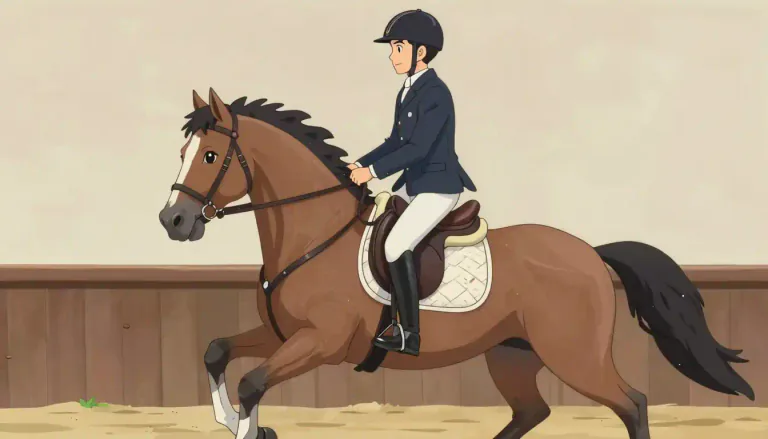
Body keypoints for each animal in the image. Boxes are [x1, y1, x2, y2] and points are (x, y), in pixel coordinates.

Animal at [157, 88, 754, 439]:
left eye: (209, 155)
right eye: (182, 153)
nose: (173, 221)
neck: (311, 234)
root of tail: (588, 252)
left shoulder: (321, 341)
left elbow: (252, 383)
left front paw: (250, 426)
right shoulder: (284, 334)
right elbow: (217, 352)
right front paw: (238, 422)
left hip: (575, 357)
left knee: (632, 404)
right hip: (512, 355)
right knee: (533, 412)